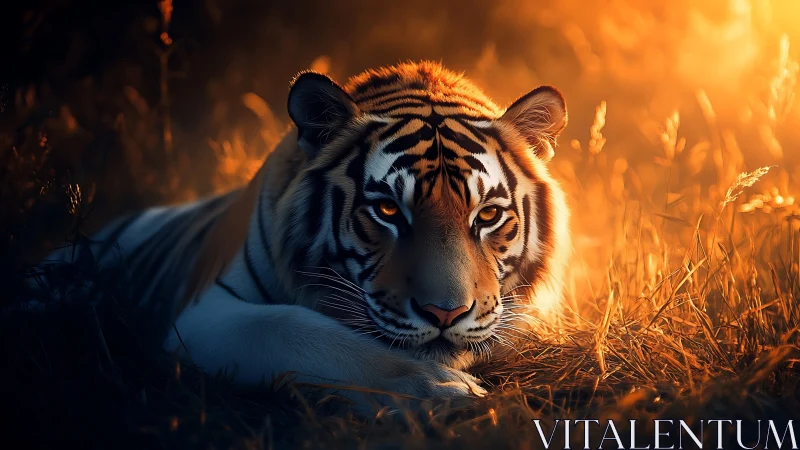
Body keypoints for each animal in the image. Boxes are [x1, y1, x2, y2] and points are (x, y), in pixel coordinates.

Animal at [30, 61, 570, 403]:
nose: (445, 313)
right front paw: (440, 388)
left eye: (487, 216)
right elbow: (298, 329)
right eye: (388, 211)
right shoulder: (205, 312)